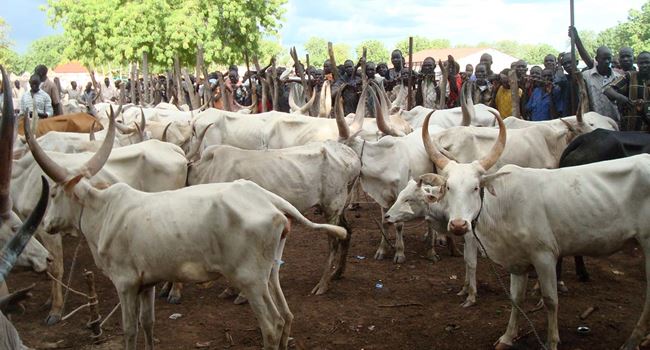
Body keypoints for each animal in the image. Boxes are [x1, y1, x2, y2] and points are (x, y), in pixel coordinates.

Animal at [26, 109, 344, 350]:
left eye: (53, 193)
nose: (46, 224)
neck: (104, 211)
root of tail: (267, 198)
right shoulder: (146, 283)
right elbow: (148, 324)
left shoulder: (125, 284)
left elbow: (129, 330)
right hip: (269, 273)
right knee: (287, 316)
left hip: (251, 280)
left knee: (273, 324)